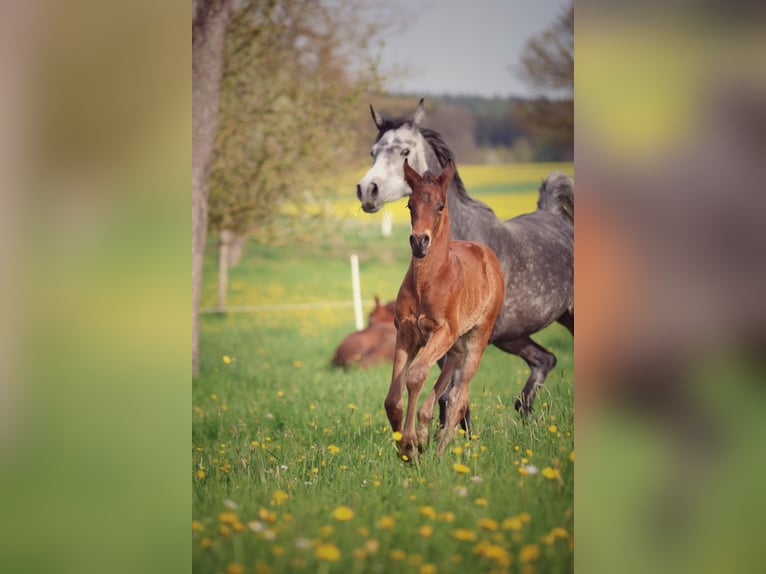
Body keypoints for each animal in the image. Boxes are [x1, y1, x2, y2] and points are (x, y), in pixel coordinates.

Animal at [356, 98, 572, 424]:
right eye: (373, 152)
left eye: (405, 151)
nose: (368, 190)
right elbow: (447, 396)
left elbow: (452, 396)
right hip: (513, 336)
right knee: (545, 360)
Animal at [388, 161, 508, 460]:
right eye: (409, 205)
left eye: (441, 206)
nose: (419, 242)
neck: (427, 281)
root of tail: (487, 253)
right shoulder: (406, 332)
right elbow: (393, 399)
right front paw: (407, 448)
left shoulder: (443, 330)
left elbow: (415, 375)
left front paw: (410, 444)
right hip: (454, 341)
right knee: (453, 369)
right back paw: (428, 436)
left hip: (477, 335)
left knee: (458, 396)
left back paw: (441, 452)